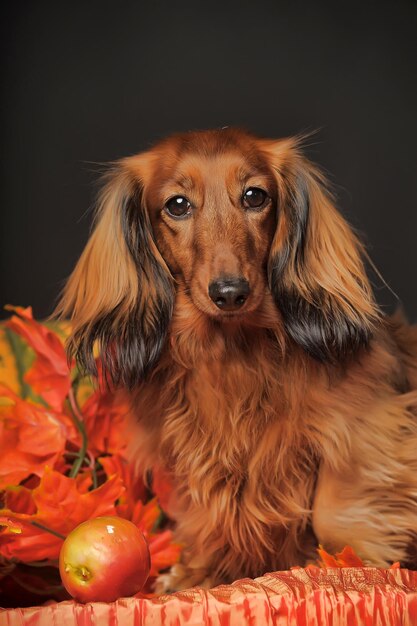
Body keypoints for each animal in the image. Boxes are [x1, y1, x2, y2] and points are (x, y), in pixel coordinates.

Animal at [57, 128, 416, 588]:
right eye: (177, 204)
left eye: (254, 196)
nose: (230, 293)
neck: (233, 353)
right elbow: (208, 514)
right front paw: (200, 572)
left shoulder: (368, 425)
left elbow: (334, 505)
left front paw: (344, 562)